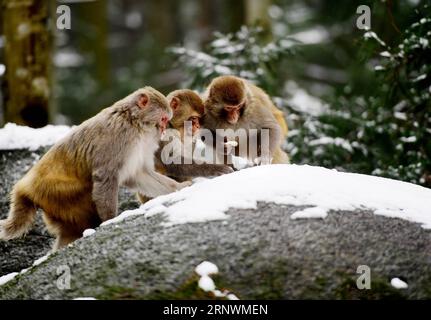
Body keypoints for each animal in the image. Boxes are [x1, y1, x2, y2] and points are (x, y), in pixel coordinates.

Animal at [0, 87, 191, 250]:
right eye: (163, 119)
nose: (163, 130)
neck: (133, 121)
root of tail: (25, 185)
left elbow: (138, 174)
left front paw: (179, 187)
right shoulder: (120, 139)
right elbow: (106, 176)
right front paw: (110, 220)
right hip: (58, 194)